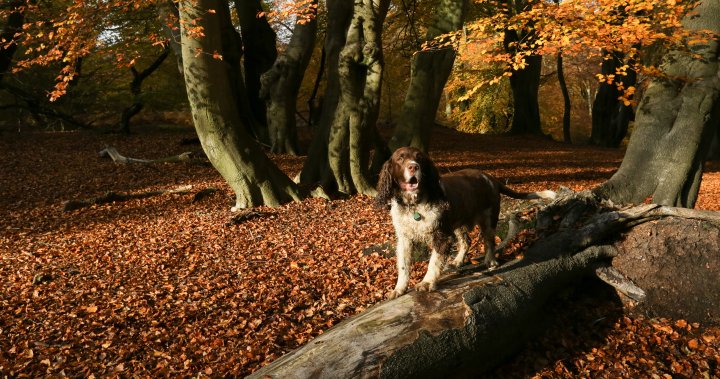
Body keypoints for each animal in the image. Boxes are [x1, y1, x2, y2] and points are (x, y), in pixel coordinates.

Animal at [376, 148, 556, 300]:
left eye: (419, 158)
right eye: (400, 158)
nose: (414, 166)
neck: (413, 204)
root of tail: (491, 178)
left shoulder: (441, 236)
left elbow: (433, 262)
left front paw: (427, 282)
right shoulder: (404, 238)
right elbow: (403, 266)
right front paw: (399, 289)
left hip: (488, 219)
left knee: (489, 241)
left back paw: (491, 261)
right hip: (458, 223)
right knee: (466, 241)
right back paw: (458, 261)